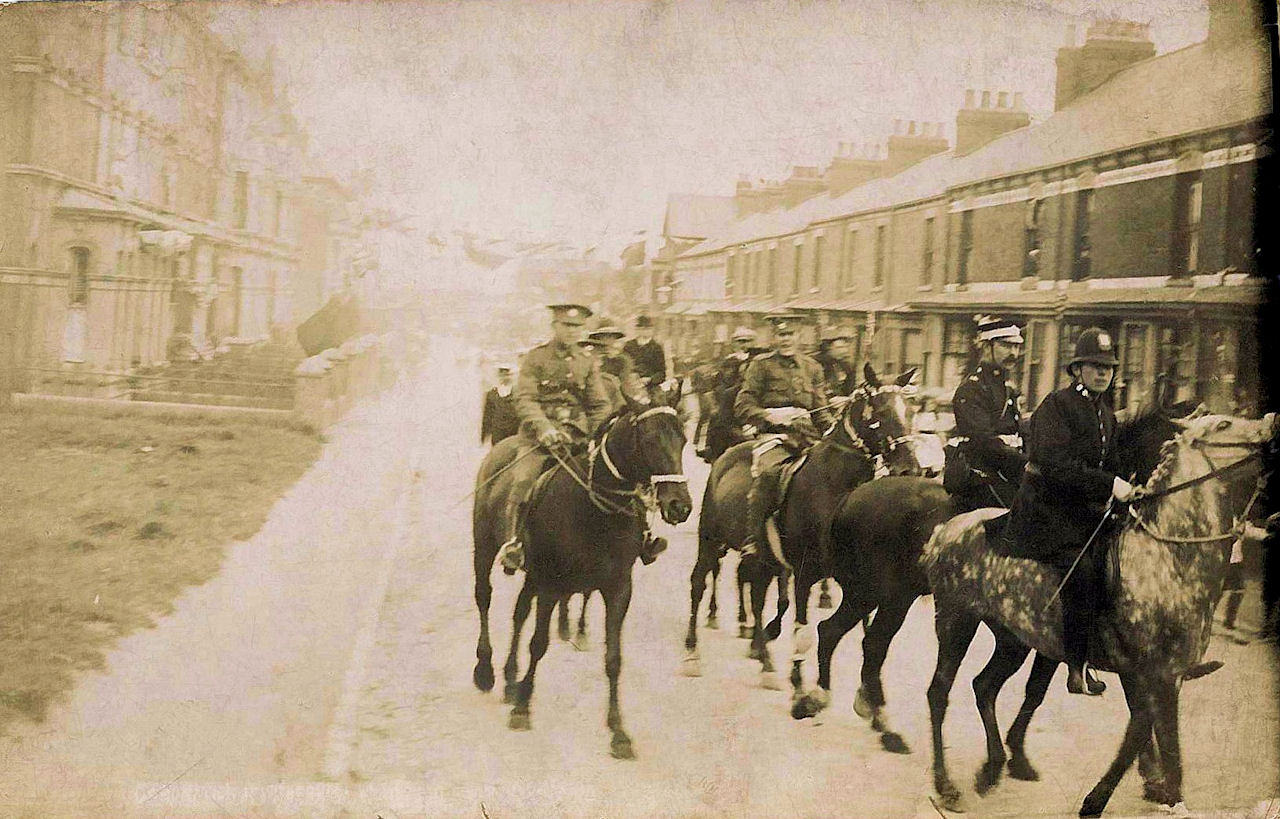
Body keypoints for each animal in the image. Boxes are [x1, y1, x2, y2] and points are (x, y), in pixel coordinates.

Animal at [473, 394, 696, 757]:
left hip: (532, 577)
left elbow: (614, 658)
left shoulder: (618, 589)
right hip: (485, 549)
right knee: (484, 598)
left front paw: (619, 732)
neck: (594, 509)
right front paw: (522, 709)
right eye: (650, 440)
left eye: (683, 439)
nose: (680, 506)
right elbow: (539, 644)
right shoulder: (552, 584)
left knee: (519, 613)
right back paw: (485, 671)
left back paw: (509, 678)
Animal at [921, 409, 1269, 813]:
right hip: (957, 621)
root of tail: (947, 528)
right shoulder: (1160, 674)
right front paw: (1116, 797)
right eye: (1224, 425)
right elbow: (1157, 740)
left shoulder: (1152, 673)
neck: (1169, 557)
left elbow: (1142, 730)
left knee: (984, 687)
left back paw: (992, 768)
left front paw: (1148, 786)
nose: (1272, 422)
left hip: (1013, 639)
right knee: (939, 692)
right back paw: (946, 785)